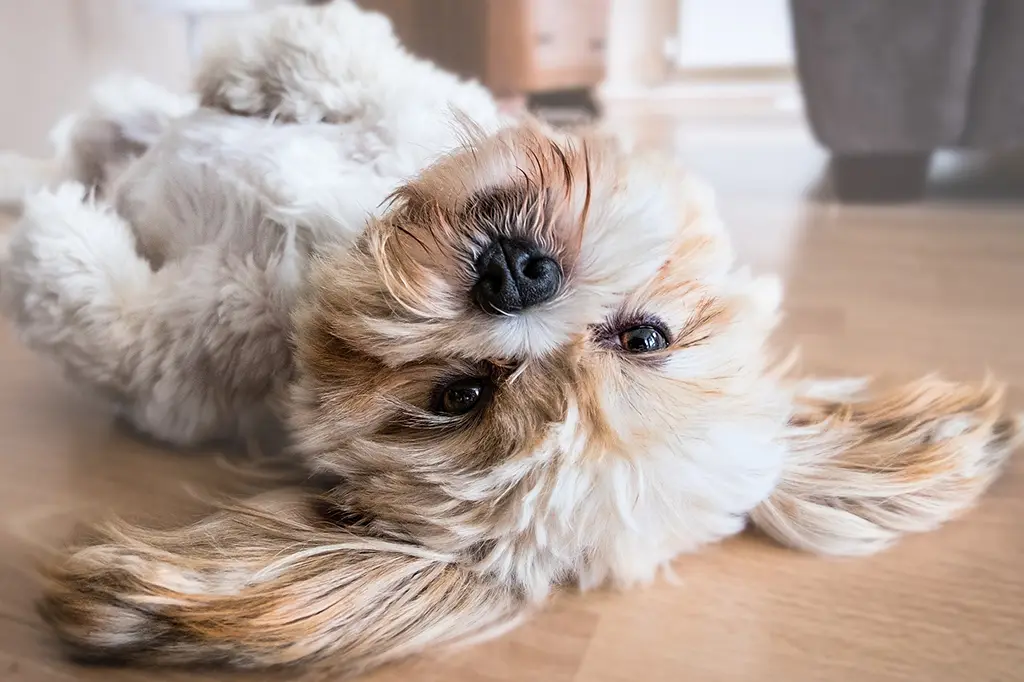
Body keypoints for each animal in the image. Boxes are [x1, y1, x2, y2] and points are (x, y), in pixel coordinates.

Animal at [0, 2, 1019, 675]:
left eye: (459, 395)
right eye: (645, 337)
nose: (516, 275)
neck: (324, 253)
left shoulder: (179, 367)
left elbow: (107, 317)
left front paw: (54, 239)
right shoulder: (410, 110)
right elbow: (352, 67)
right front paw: (263, 64)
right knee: (95, 125)